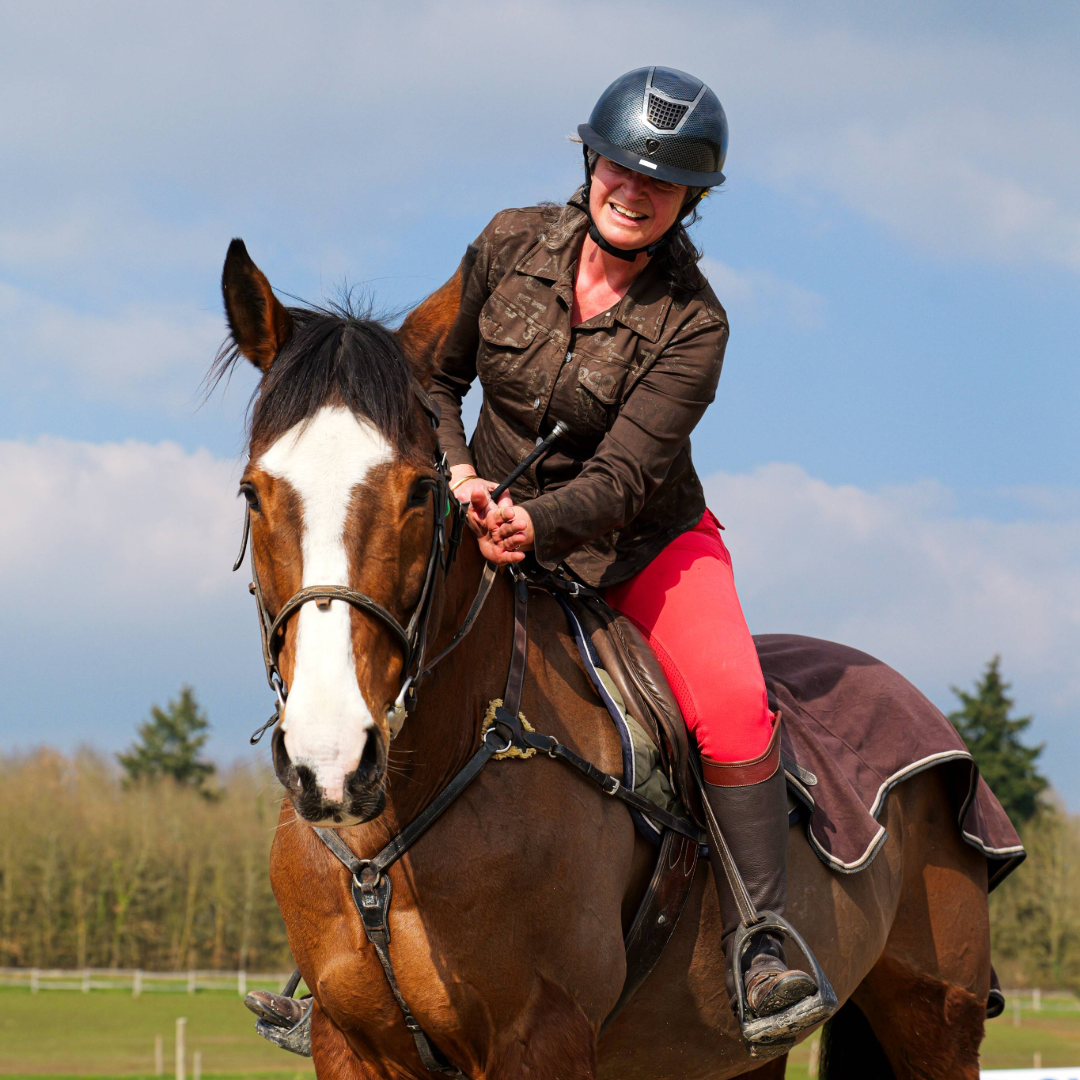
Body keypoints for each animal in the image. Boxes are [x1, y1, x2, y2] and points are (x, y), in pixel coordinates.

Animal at [215, 239, 996, 1080]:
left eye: (421, 491)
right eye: (253, 493)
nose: (329, 761)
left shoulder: (544, 1036)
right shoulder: (348, 1042)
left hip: (933, 1020)